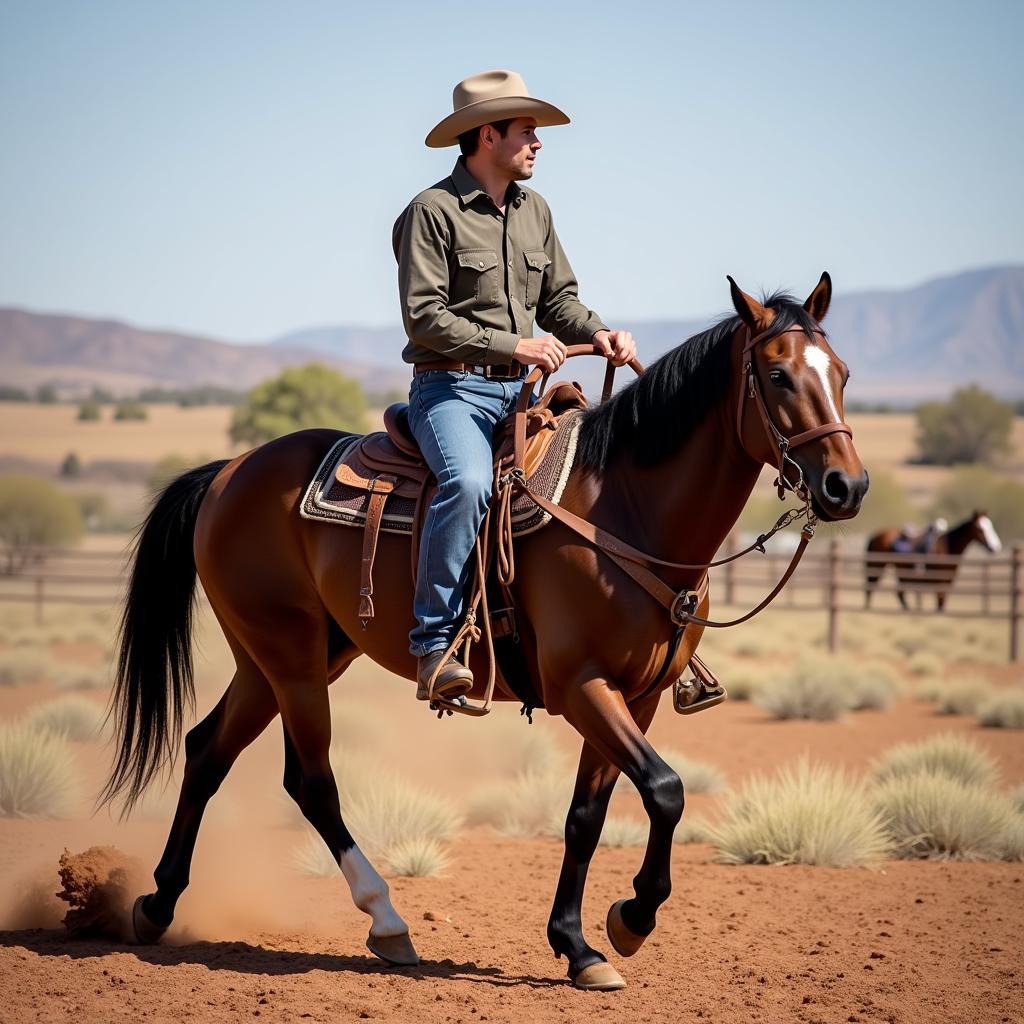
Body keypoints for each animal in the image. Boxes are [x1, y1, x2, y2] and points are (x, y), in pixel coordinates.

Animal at [103, 272, 868, 991]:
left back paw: (157, 906)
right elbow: (666, 789)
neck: (624, 511)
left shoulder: (637, 695)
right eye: (777, 374)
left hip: (282, 659)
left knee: (208, 751)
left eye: (842, 372)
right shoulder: (581, 685)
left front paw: (579, 945)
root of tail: (228, 473)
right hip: (287, 657)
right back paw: (386, 920)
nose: (848, 487)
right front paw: (632, 918)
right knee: (311, 780)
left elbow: (589, 815)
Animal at [864, 509, 999, 606]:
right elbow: (939, 606)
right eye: (980, 528)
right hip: (877, 567)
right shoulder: (940, 584)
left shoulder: (948, 583)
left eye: (991, 525)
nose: (995, 547)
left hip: (902, 572)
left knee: (899, 594)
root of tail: (875, 535)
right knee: (870, 590)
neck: (948, 548)